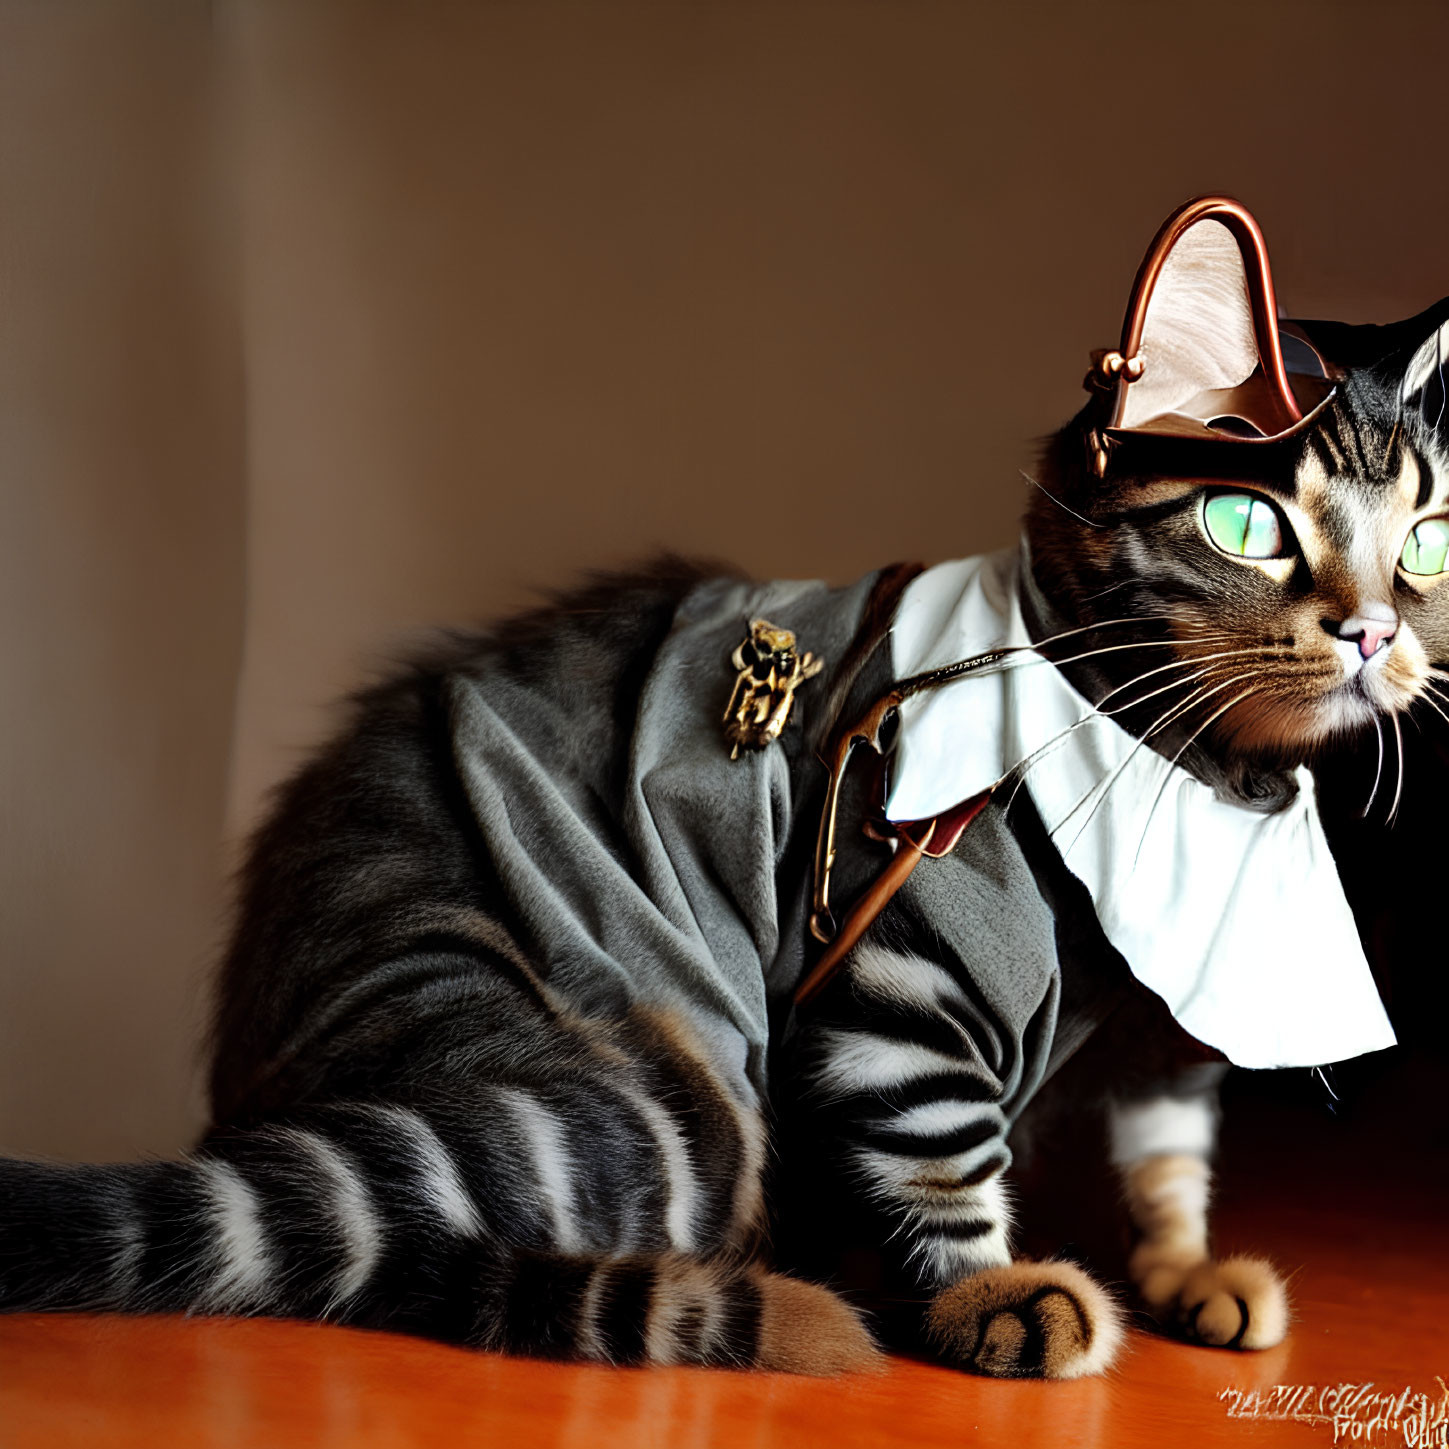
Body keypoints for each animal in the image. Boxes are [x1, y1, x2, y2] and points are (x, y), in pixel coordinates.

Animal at [5, 195, 1443, 1379]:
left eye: (1427, 540)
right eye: (1247, 525)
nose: (1375, 629)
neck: (1195, 770)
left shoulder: (1166, 1035)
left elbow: (1166, 1158)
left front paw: (1188, 1274)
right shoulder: (903, 989)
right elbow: (942, 1161)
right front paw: (991, 1296)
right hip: (655, 1094)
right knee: (381, 1249)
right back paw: (756, 1307)